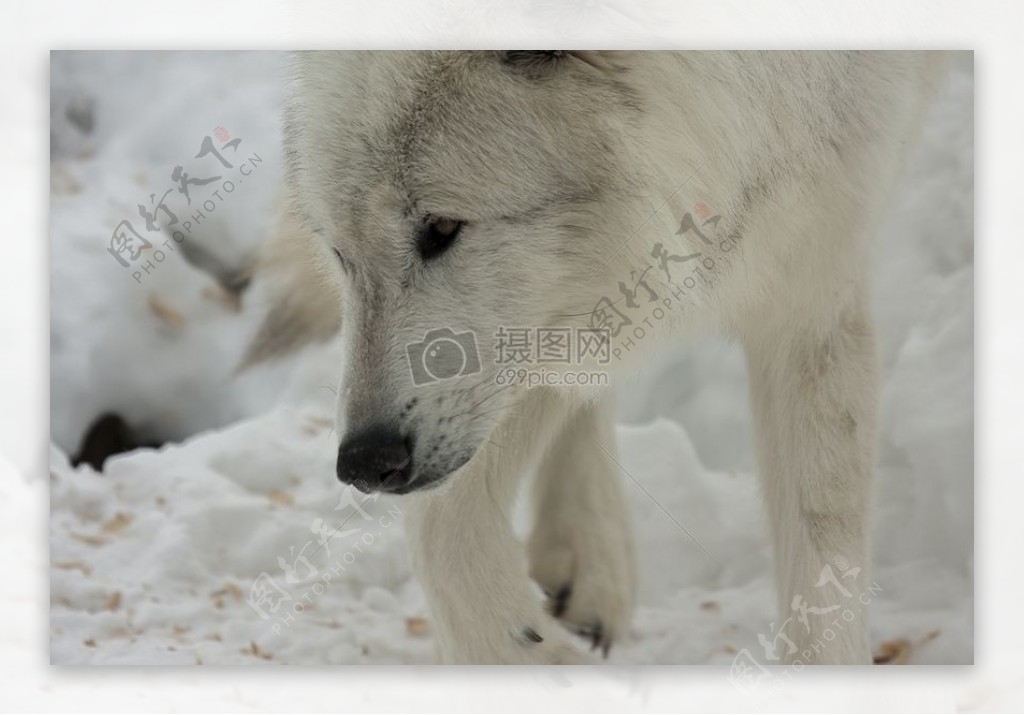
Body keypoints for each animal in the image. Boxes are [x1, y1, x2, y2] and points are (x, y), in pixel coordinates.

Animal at [245, 51, 942, 663]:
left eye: (441, 229)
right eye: (340, 253)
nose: (364, 462)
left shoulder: (814, 279)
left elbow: (822, 568)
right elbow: (442, 531)